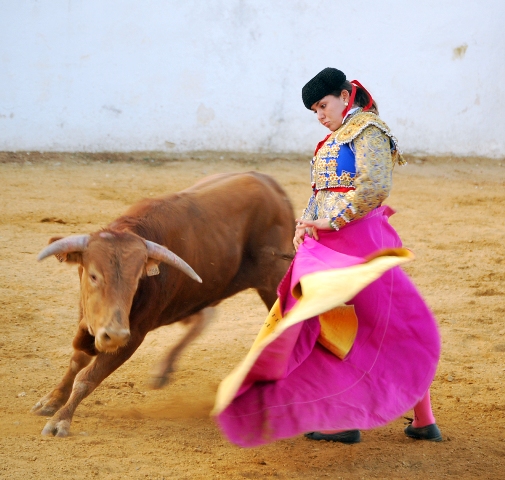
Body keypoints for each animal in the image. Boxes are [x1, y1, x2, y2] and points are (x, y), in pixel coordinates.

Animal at [33, 172, 294, 436]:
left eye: (137, 278)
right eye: (94, 275)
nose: (115, 335)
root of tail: (271, 184)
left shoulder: (132, 337)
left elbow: (88, 377)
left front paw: (60, 420)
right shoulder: (89, 320)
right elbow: (77, 360)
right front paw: (52, 400)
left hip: (272, 283)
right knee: (204, 317)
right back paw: (164, 370)